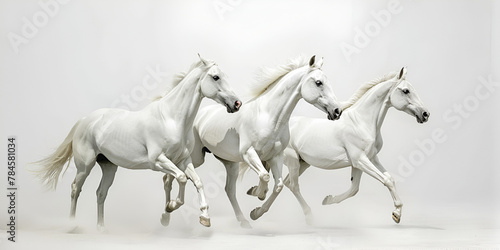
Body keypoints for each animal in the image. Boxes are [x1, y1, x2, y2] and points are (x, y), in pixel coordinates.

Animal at [35, 55, 242, 230]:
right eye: (216, 77)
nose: (237, 103)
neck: (171, 119)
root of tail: (85, 120)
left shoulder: (183, 160)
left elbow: (197, 181)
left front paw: (204, 218)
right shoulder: (158, 161)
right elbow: (182, 178)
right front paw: (171, 206)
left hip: (108, 166)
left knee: (101, 193)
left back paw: (101, 228)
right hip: (85, 165)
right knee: (75, 189)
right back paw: (72, 226)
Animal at [250, 67, 430, 224]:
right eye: (406, 91)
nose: (425, 114)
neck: (362, 122)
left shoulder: (367, 159)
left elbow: (357, 188)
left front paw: (328, 200)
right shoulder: (360, 160)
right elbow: (386, 180)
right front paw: (396, 214)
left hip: (303, 163)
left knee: (284, 184)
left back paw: (256, 212)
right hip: (293, 159)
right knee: (293, 185)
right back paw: (308, 217)